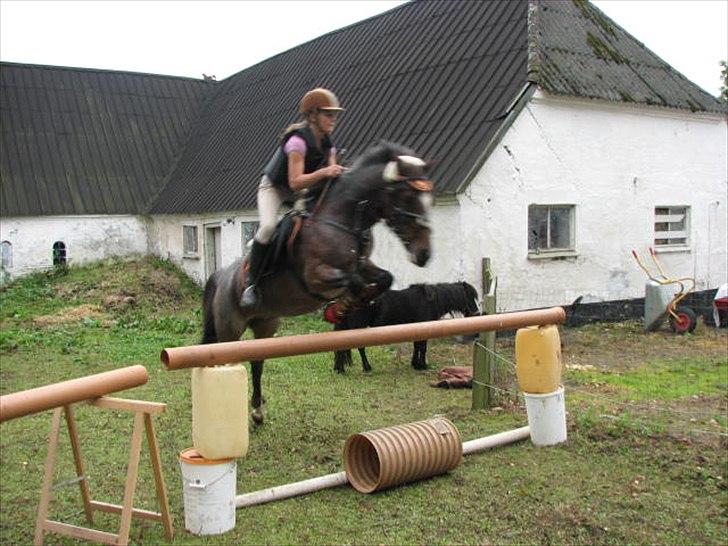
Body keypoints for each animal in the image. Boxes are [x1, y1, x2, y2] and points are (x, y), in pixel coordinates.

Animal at [200, 140, 432, 420]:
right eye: (407, 196)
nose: (424, 255)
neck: (343, 219)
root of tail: (222, 275)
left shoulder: (363, 264)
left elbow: (385, 278)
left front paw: (347, 306)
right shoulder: (315, 276)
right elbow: (351, 280)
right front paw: (341, 306)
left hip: (266, 323)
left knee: (257, 361)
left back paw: (257, 410)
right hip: (230, 327)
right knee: (225, 359)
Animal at [332, 280, 480, 370]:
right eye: (470, 297)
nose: (477, 313)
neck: (429, 301)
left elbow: (417, 346)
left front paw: (415, 364)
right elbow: (422, 347)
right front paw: (422, 365)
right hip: (359, 328)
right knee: (360, 348)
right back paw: (367, 367)